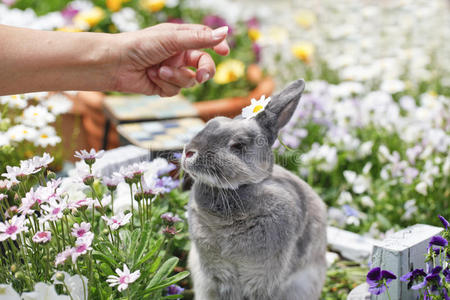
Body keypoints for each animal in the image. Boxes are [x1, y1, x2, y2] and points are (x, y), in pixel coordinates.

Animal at [183, 79, 326, 300]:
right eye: (210, 123)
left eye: (238, 145)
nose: (189, 152)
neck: (237, 189)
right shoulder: (216, 273)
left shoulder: (263, 278)